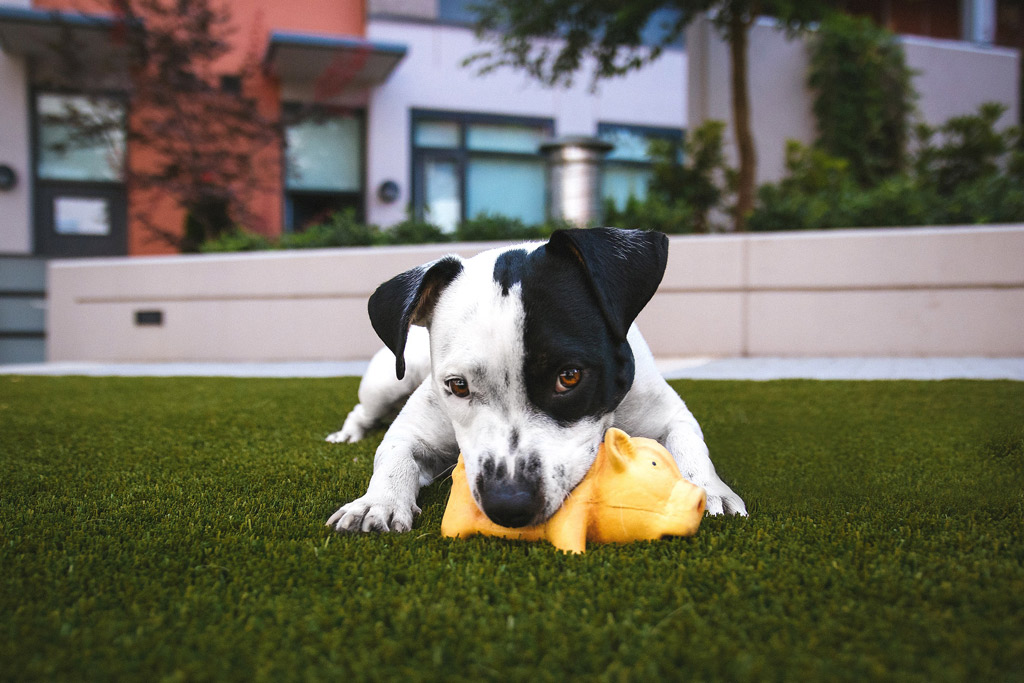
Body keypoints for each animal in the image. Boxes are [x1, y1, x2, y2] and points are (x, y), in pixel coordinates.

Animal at [325, 227, 745, 532]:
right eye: (458, 386)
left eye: (569, 377)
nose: (508, 504)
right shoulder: (415, 430)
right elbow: (393, 454)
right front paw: (376, 502)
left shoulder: (668, 413)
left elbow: (690, 444)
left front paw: (708, 489)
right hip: (388, 381)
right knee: (362, 411)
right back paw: (347, 435)